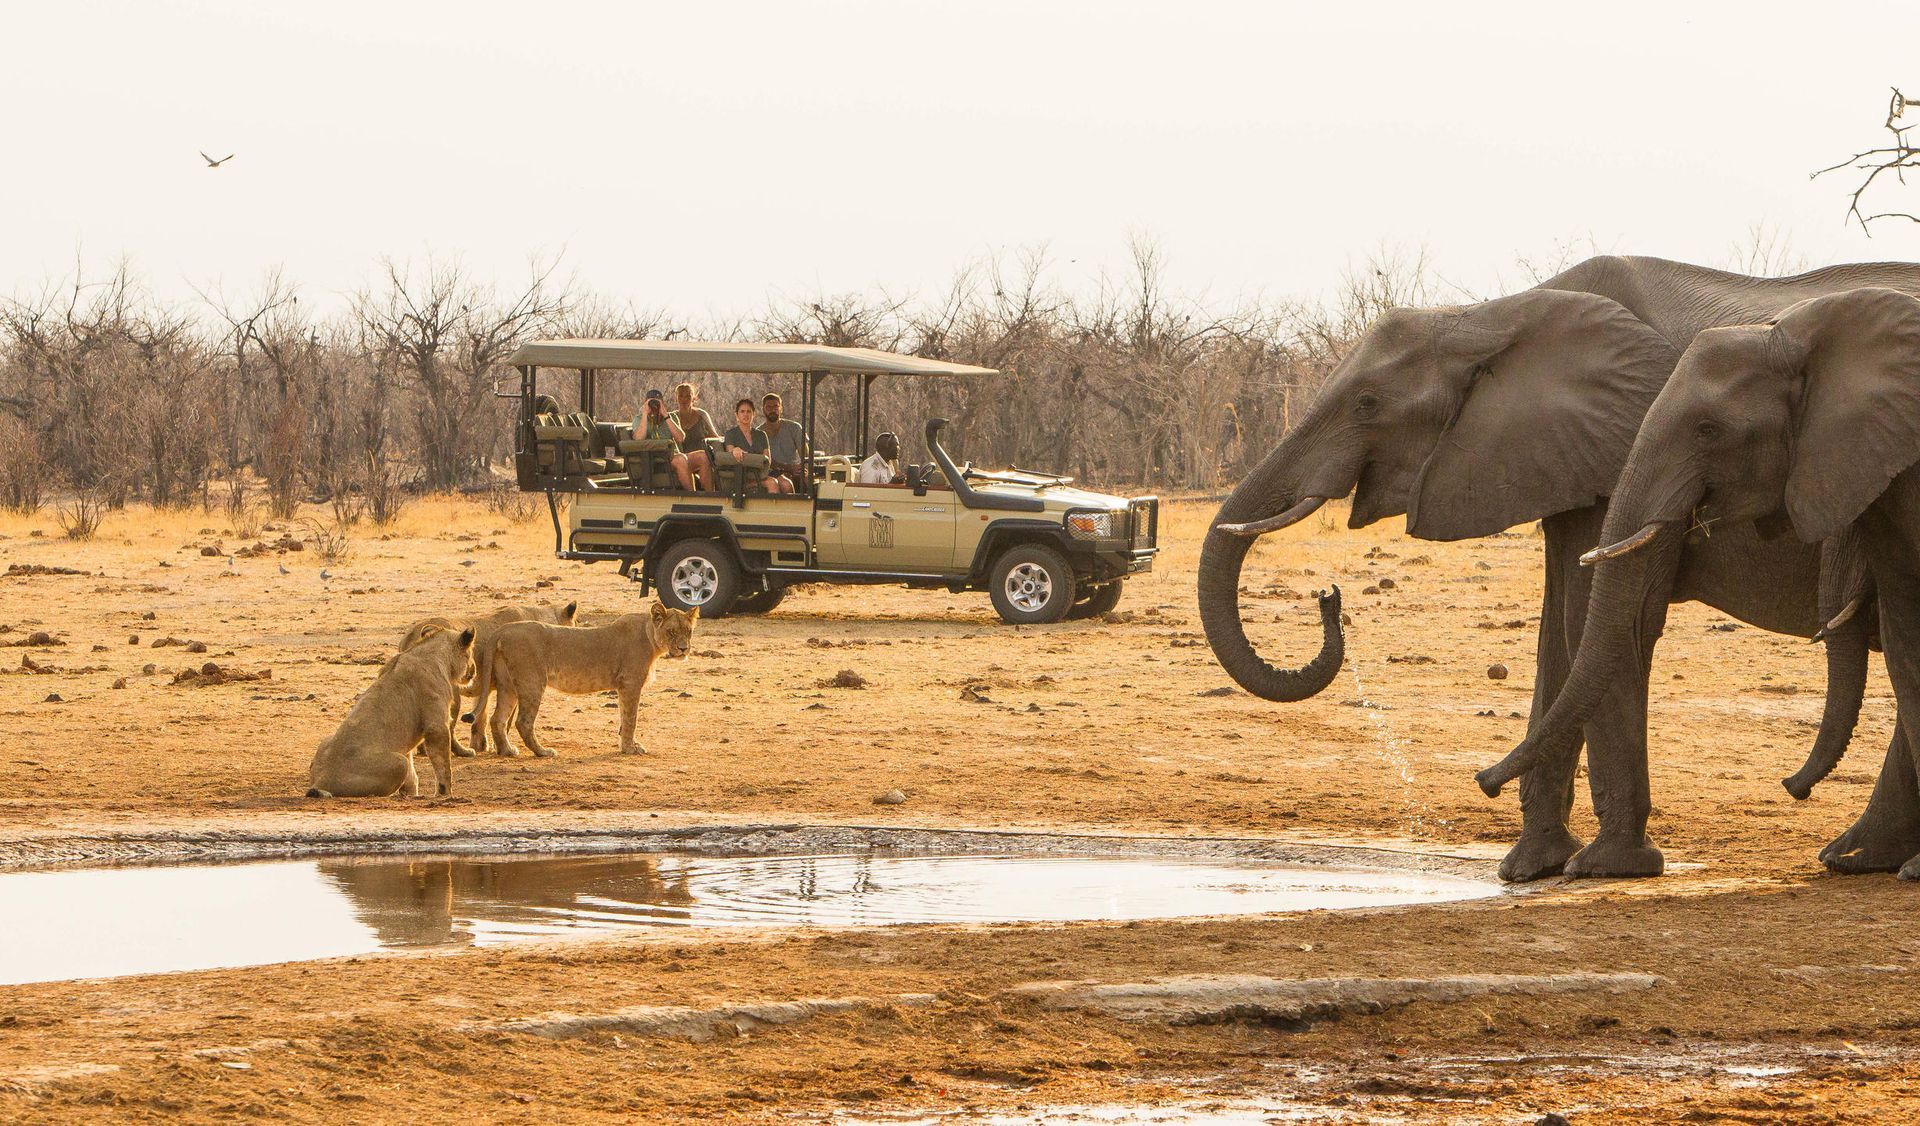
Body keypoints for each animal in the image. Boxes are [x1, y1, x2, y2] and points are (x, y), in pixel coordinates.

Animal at [307, 622, 476, 799]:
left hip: (326, 739)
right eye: (470, 653)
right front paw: (446, 793)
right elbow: (443, 766)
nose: (474, 670)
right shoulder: (436, 726)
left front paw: (411, 794)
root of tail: (321, 780)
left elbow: (412, 775)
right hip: (399, 763)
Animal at [389, 595, 568, 753]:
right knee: (449, 726)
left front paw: (481, 745)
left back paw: (424, 751)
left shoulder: (485, 687)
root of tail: (411, 634)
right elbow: (505, 720)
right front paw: (500, 747)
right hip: (451, 692)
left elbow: (480, 717)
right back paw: (462, 751)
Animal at [491, 599, 702, 757]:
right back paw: (543, 752)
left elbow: (623, 717)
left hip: (508, 685)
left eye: (688, 631)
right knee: (523, 722)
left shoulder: (623, 687)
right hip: (532, 682)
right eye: (671, 631)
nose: (683, 649)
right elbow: (631, 719)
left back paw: (507, 750)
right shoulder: (631, 683)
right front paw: (629, 749)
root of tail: (503, 630)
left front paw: (627, 745)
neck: (650, 637)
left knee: (497, 718)